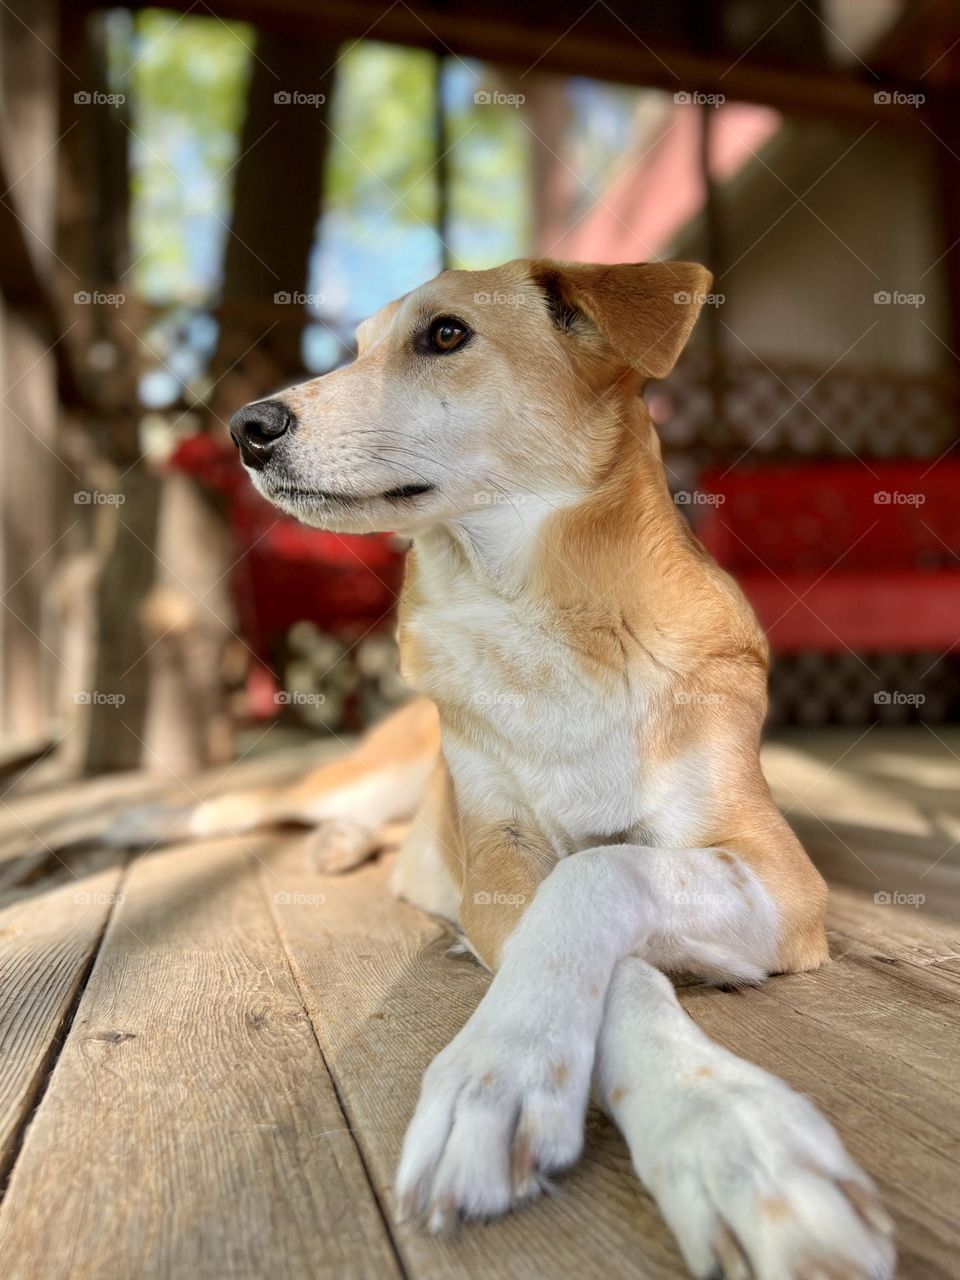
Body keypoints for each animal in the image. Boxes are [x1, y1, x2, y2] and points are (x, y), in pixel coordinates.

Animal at [156, 262, 896, 1280]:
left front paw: (740, 1138)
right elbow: (599, 945)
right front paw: (542, 1080)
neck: (537, 619)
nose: (246, 429)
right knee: (235, 810)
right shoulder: (498, 864)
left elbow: (598, 873)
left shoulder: (781, 875)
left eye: (444, 336)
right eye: (355, 349)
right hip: (363, 777)